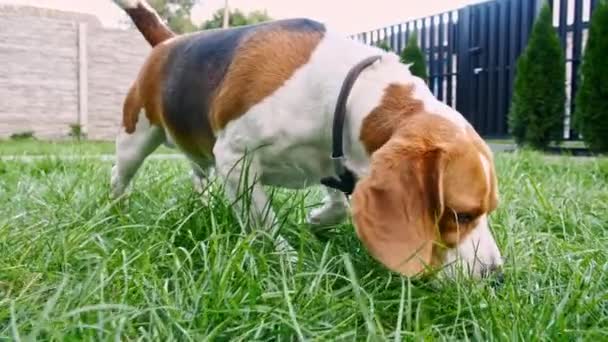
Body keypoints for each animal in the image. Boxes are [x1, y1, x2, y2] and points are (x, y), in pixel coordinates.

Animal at [114, 0, 504, 278]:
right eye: (461, 215)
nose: (496, 277)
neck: (348, 92)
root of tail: (168, 40)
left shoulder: (330, 160)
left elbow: (340, 206)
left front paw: (316, 220)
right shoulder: (234, 157)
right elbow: (264, 220)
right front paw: (288, 261)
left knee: (198, 172)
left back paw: (205, 204)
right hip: (136, 138)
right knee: (121, 176)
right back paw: (118, 211)